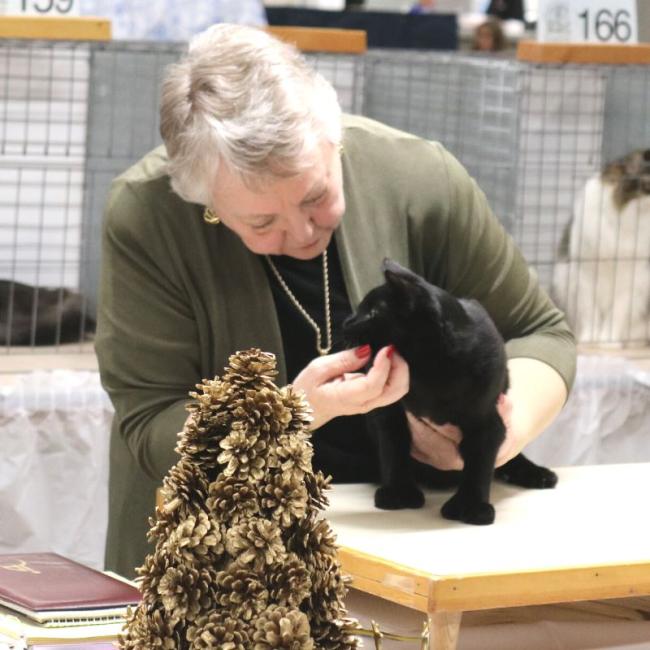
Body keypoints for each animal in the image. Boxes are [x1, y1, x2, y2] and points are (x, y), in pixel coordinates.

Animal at [340, 256, 556, 520]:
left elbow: (479, 464)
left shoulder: (487, 421)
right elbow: (394, 450)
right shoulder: (389, 414)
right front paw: (398, 493)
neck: (427, 372)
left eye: (371, 313)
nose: (346, 322)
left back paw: (539, 474)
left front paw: (470, 507)